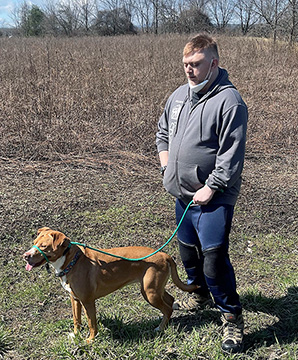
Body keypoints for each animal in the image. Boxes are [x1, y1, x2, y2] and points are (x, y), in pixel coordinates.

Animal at [23, 228, 198, 344]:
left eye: (44, 246)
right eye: (34, 243)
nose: (25, 256)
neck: (71, 261)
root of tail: (164, 254)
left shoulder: (88, 301)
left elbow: (91, 323)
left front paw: (90, 340)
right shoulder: (74, 299)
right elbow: (76, 320)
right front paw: (76, 335)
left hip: (150, 292)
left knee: (167, 308)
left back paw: (160, 328)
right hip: (154, 289)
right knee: (170, 300)